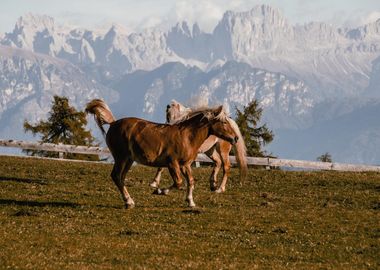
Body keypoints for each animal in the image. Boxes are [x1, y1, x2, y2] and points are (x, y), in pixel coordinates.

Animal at [86, 98, 240, 207]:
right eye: (224, 122)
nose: (236, 138)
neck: (187, 136)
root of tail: (113, 123)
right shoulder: (172, 163)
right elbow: (178, 182)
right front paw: (160, 191)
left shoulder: (185, 164)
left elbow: (190, 181)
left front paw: (190, 202)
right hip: (121, 157)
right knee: (116, 176)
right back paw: (129, 202)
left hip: (129, 159)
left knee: (121, 177)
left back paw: (129, 201)